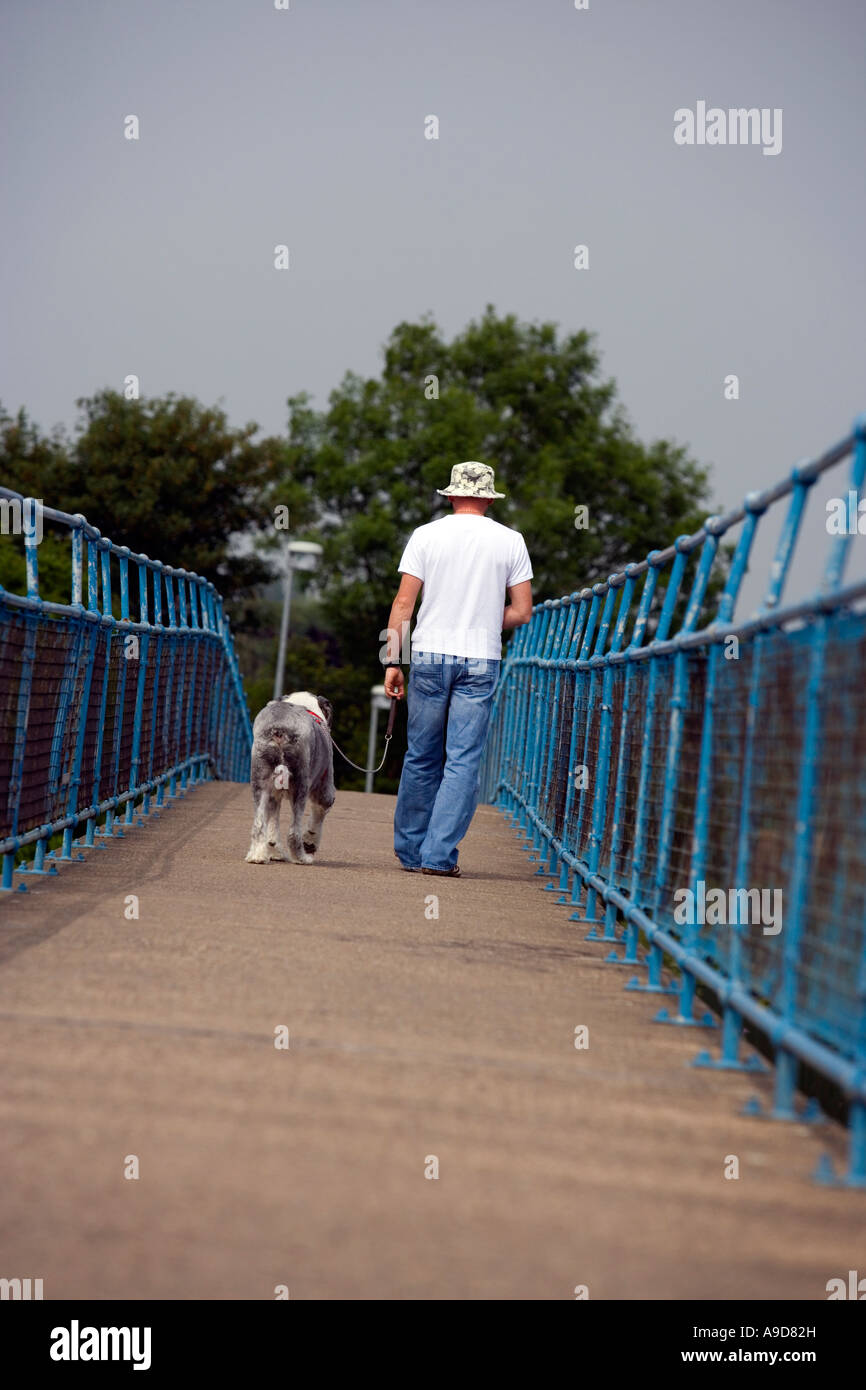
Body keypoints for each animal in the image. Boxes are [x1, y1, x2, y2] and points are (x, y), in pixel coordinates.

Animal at [247, 689, 339, 861]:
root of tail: (280, 729)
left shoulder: (273, 795)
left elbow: (272, 822)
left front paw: (274, 851)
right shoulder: (325, 788)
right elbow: (320, 811)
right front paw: (310, 843)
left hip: (260, 780)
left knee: (259, 824)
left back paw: (257, 856)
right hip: (301, 784)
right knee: (293, 832)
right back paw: (301, 857)